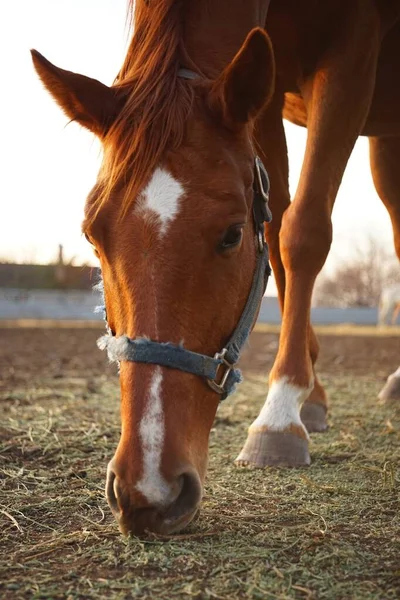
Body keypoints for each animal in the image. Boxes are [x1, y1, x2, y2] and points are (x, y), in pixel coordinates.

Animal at [31, 0, 400, 536]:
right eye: (92, 236)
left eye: (231, 234)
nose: (148, 490)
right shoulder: (267, 92)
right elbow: (277, 222)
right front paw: (306, 398)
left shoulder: (352, 50)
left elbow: (302, 231)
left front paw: (280, 415)